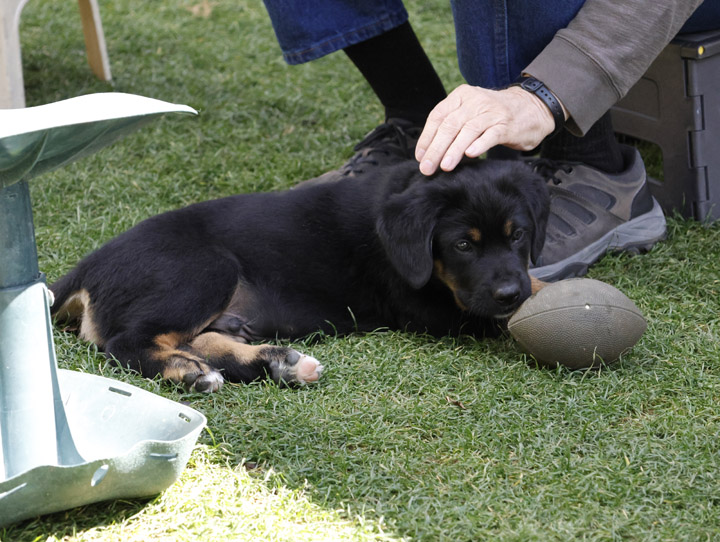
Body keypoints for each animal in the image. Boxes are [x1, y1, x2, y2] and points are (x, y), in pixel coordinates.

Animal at [50, 159, 548, 394]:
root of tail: (87, 266)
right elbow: (497, 316)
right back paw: (194, 374)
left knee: (199, 339)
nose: (509, 293)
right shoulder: (432, 307)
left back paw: (278, 363)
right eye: (463, 245)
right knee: (126, 343)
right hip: (205, 268)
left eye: (519, 234)